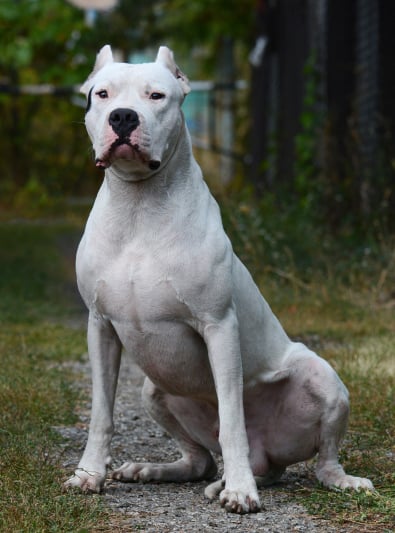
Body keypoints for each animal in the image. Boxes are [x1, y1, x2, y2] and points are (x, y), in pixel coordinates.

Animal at [65, 45, 374, 512]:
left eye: (157, 96)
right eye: (102, 94)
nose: (123, 117)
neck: (139, 206)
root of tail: (269, 457)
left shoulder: (219, 326)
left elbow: (231, 418)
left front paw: (241, 491)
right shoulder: (100, 328)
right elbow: (102, 412)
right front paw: (89, 475)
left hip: (322, 377)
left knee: (321, 461)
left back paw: (310, 479)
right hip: (154, 390)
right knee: (201, 461)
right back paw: (155, 470)